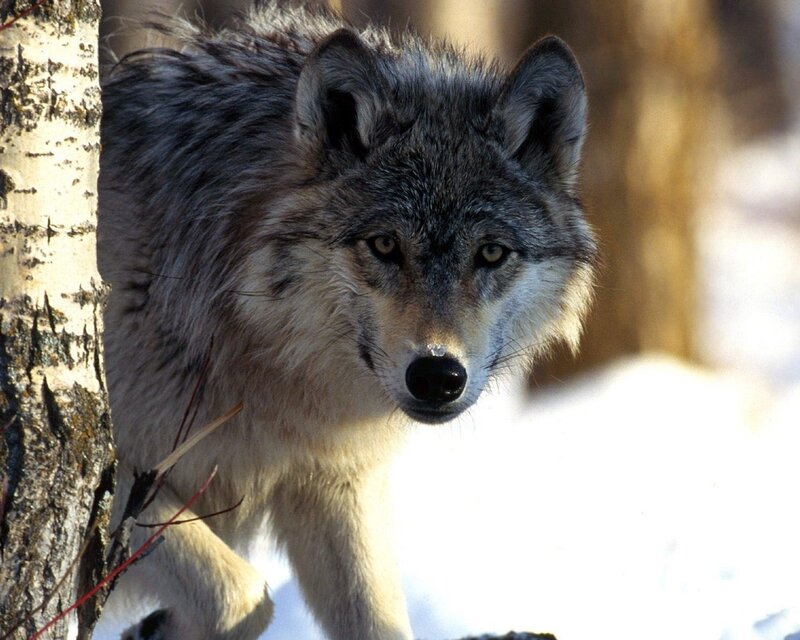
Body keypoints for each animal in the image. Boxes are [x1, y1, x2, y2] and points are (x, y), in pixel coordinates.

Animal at [98, 2, 596, 639]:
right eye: (384, 245)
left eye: (490, 253)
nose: (437, 376)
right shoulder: (122, 473)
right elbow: (242, 596)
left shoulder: (338, 485)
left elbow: (376, 621)